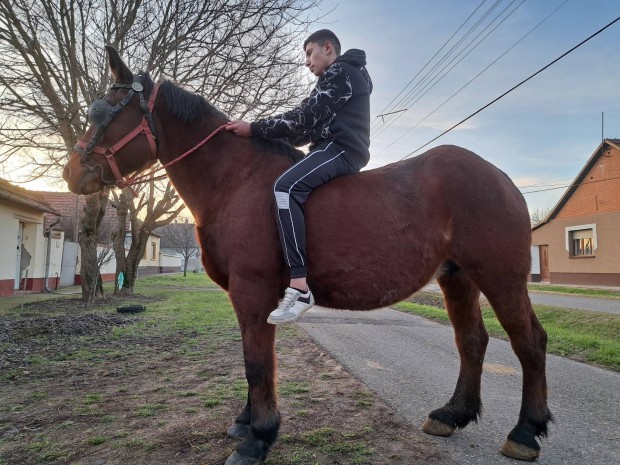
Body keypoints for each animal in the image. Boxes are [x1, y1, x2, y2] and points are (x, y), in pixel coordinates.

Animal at [63, 46, 552, 460]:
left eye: (105, 111)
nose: (72, 173)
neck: (235, 180)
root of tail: (500, 177)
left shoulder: (253, 289)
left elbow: (258, 363)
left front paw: (258, 438)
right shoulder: (246, 296)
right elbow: (252, 357)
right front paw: (247, 423)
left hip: (500, 277)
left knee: (529, 341)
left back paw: (525, 432)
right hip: (457, 277)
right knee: (472, 341)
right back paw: (452, 414)